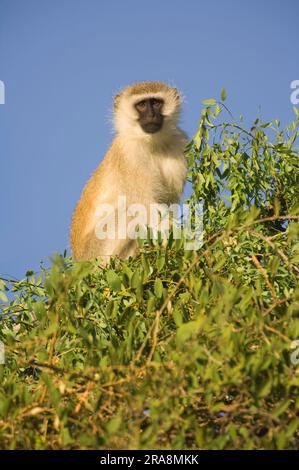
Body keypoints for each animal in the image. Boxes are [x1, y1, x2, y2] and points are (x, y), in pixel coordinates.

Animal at [69, 82, 188, 262]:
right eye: (141, 105)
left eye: (156, 103)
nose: (152, 115)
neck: (151, 143)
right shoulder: (129, 154)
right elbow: (147, 207)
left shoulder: (179, 144)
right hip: (96, 253)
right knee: (130, 212)